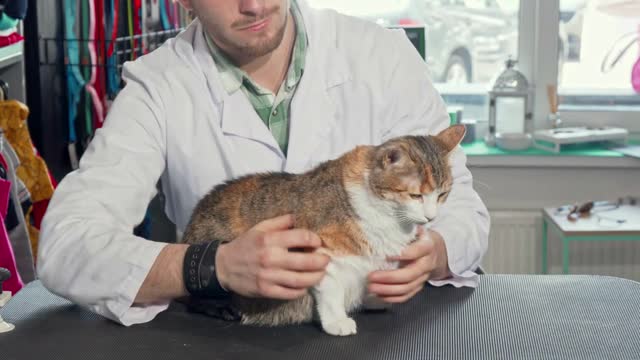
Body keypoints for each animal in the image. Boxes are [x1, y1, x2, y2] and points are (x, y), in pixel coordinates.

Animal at [180, 124, 464, 338]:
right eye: (416, 195)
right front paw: (337, 321)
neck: (388, 216)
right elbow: (330, 292)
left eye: (442, 195)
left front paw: (375, 298)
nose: (431, 217)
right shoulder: (325, 254)